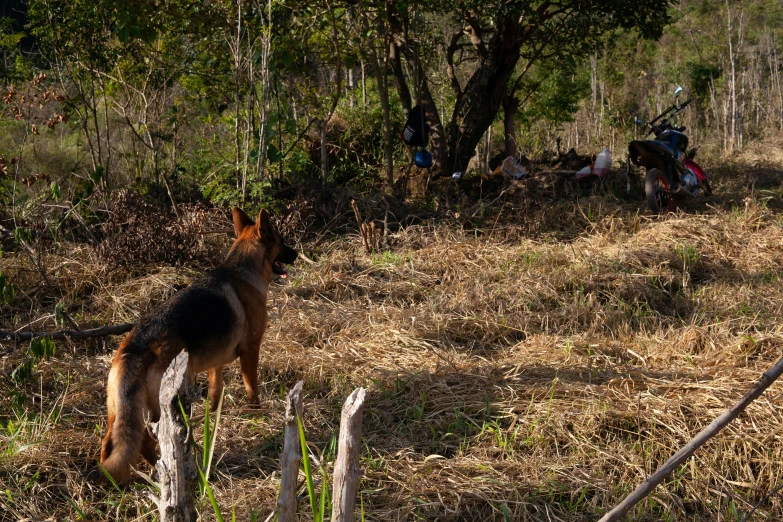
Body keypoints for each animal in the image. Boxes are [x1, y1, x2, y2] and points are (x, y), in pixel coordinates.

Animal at [101, 205, 298, 482]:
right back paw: (160, 470)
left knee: (110, 443)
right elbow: (252, 389)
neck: (242, 271)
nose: (297, 253)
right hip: (163, 406)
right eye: (282, 242)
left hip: (120, 412)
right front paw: (257, 414)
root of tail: (135, 348)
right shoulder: (250, 352)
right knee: (146, 442)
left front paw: (213, 418)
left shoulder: (216, 364)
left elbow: (215, 393)